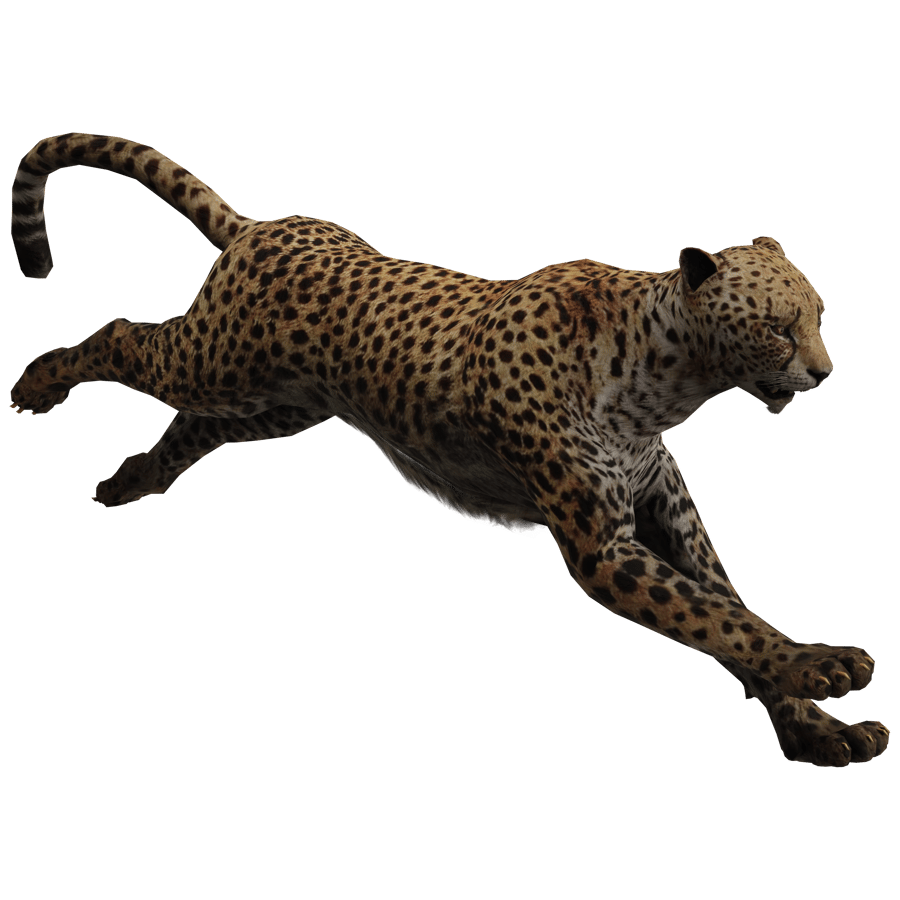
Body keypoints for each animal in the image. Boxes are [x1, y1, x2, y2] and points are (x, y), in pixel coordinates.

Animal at [9, 132, 889, 767]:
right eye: (779, 327)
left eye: (819, 316)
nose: (825, 372)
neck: (670, 375)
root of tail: (267, 226)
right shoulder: (603, 546)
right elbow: (714, 618)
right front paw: (824, 665)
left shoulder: (669, 515)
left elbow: (726, 606)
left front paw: (817, 728)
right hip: (212, 358)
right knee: (123, 337)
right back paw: (35, 384)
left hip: (273, 406)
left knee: (194, 426)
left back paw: (129, 478)